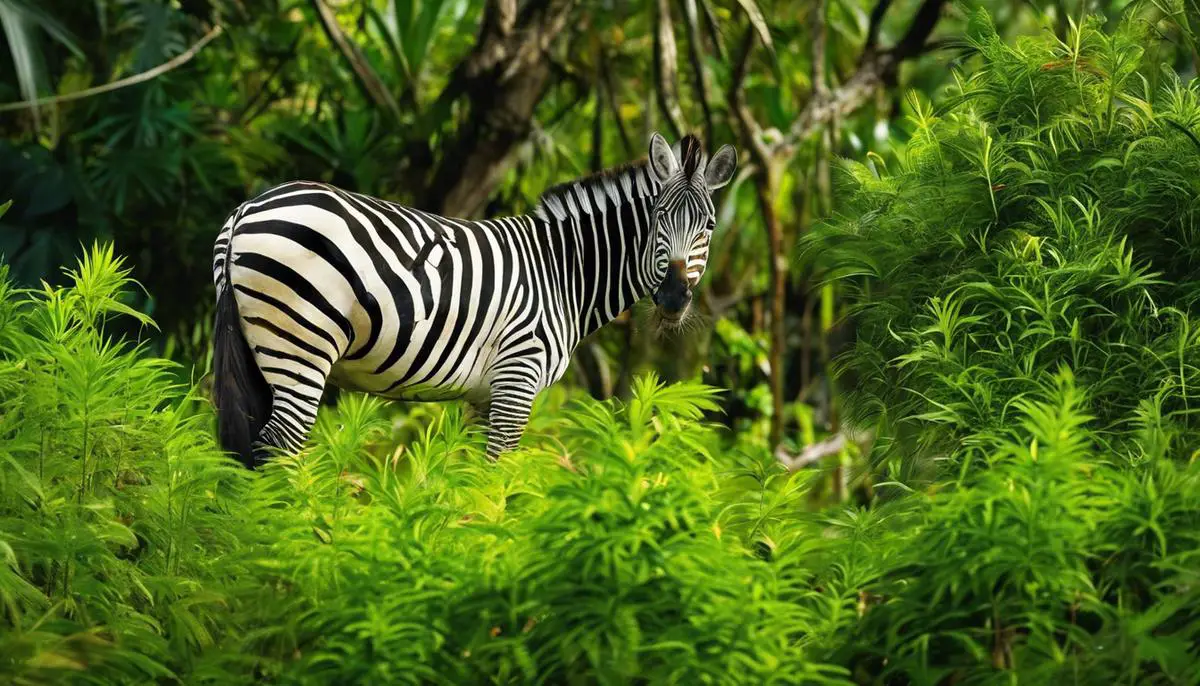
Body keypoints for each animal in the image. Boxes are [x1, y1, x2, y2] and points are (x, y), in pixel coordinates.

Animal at [214, 132, 734, 465]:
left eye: (709, 225)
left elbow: (468, 479)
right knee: (276, 445)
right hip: (301, 343)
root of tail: (247, 208)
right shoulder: (518, 376)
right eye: (659, 217)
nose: (673, 296)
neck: (561, 271)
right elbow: (497, 475)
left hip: (257, 348)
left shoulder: (484, 395)